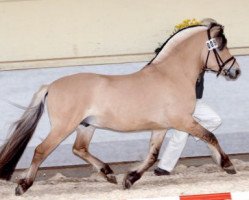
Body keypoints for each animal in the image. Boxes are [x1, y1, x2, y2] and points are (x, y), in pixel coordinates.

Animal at [0, 19, 241, 195]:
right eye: (221, 45)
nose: (236, 71)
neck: (171, 75)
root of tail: (51, 86)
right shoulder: (183, 121)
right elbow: (210, 136)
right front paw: (227, 164)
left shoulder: (161, 127)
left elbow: (152, 155)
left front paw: (130, 178)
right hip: (63, 127)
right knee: (42, 150)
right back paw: (23, 185)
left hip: (86, 126)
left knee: (79, 148)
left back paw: (108, 173)